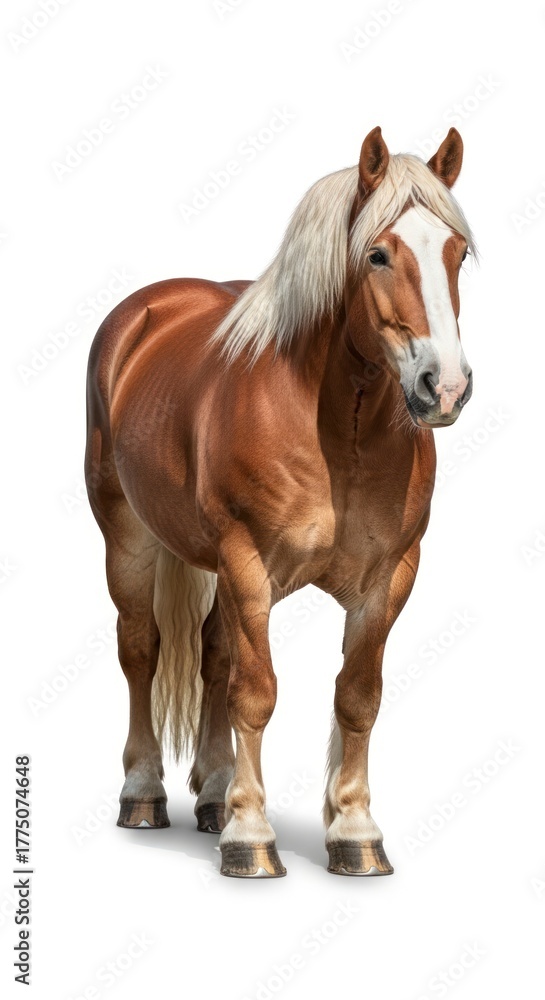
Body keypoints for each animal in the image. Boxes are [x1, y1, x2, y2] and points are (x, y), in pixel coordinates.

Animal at [85, 125, 476, 878]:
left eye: (457, 253)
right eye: (378, 253)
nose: (442, 387)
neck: (336, 435)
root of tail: (145, 315)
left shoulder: (389, 578)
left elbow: (356, 696)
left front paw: (355, 833)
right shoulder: (247, 563)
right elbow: (256, 692)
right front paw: (251, 838)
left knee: (211, 655)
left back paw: (211, 795)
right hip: (129, 539)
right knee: (141, 649)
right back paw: (144, 795)